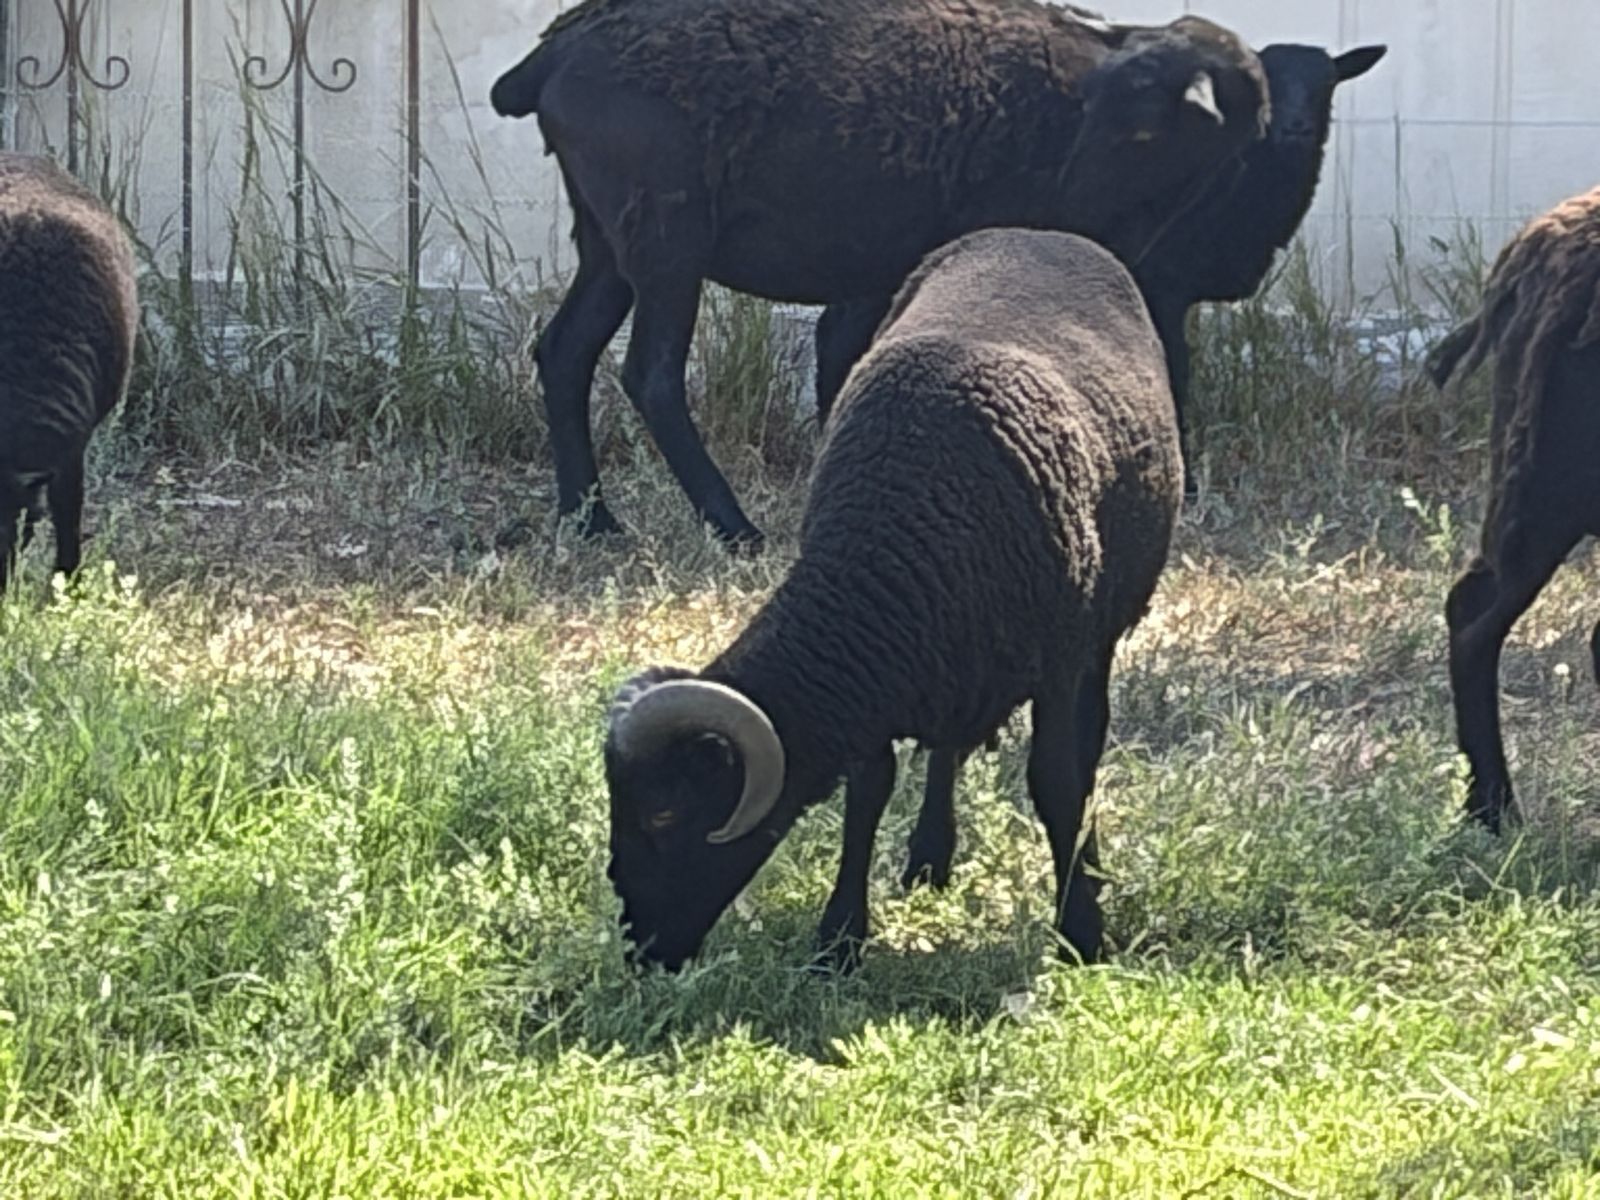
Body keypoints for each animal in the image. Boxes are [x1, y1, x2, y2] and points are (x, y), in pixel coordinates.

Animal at [491, 0, 1267, 549]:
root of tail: (549, 57)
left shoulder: (875, 271)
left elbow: (843, 361)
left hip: (609, 243)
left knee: (564, 351)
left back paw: (591, 519)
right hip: (664, 236)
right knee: (650, 374)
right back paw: (731, 526)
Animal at [603, 228, 1182, 971]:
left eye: (664, 813)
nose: (640, 950)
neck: (893, 538)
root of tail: (1039, 232)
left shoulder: (1058, 660)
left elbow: (1057, 780)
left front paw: (1081, 928)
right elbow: (869, 789)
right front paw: (840, 938)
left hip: (1100, 630)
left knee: (1088, 743)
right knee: (950, 748)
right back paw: (929, 860)